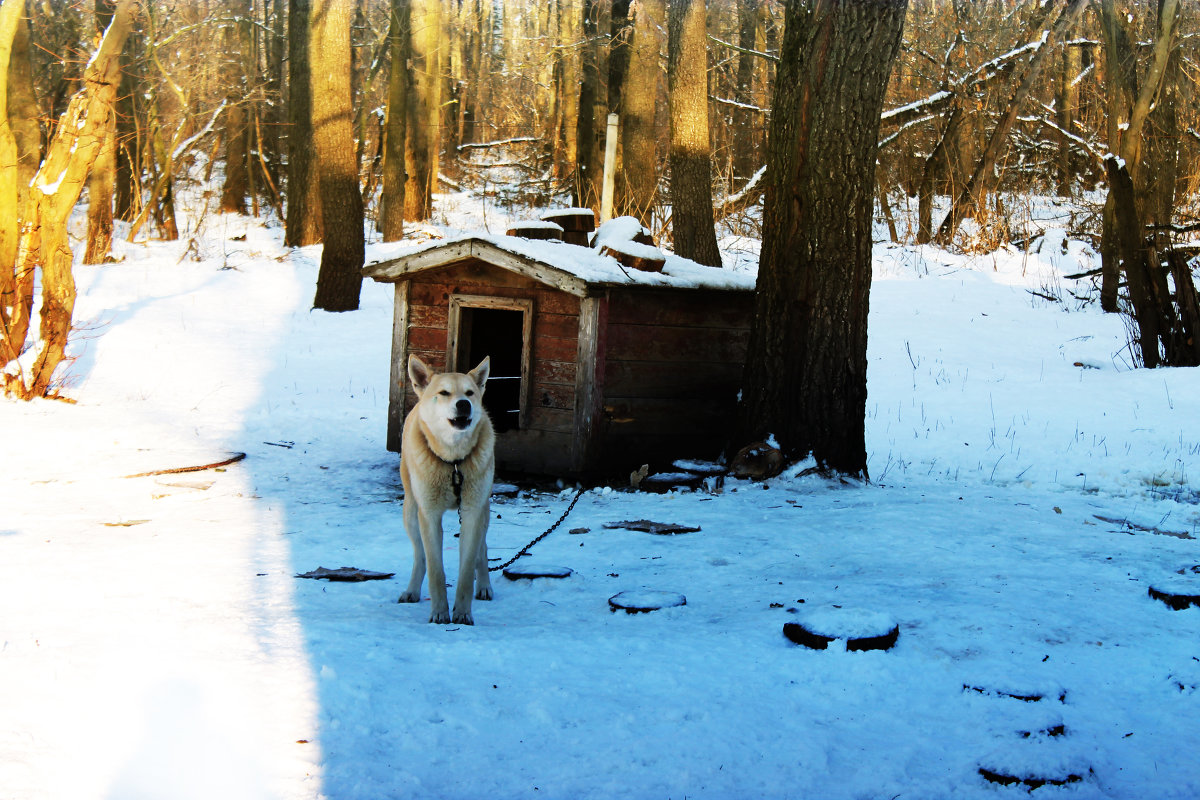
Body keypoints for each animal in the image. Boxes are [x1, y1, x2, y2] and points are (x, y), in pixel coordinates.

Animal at [396, 357, 494, 623]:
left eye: (470, 393)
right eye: (444, 393)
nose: (464, 404)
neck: (454, 462)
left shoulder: (472, 513)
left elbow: (467, 570)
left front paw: (462, 613)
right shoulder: (429, 516)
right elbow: (435, 570)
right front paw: (440, 612)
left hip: (484, 509)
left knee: (483, 548)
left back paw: (484, 585)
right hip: (411, 512)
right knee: (419, 555)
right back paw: (412, 590)